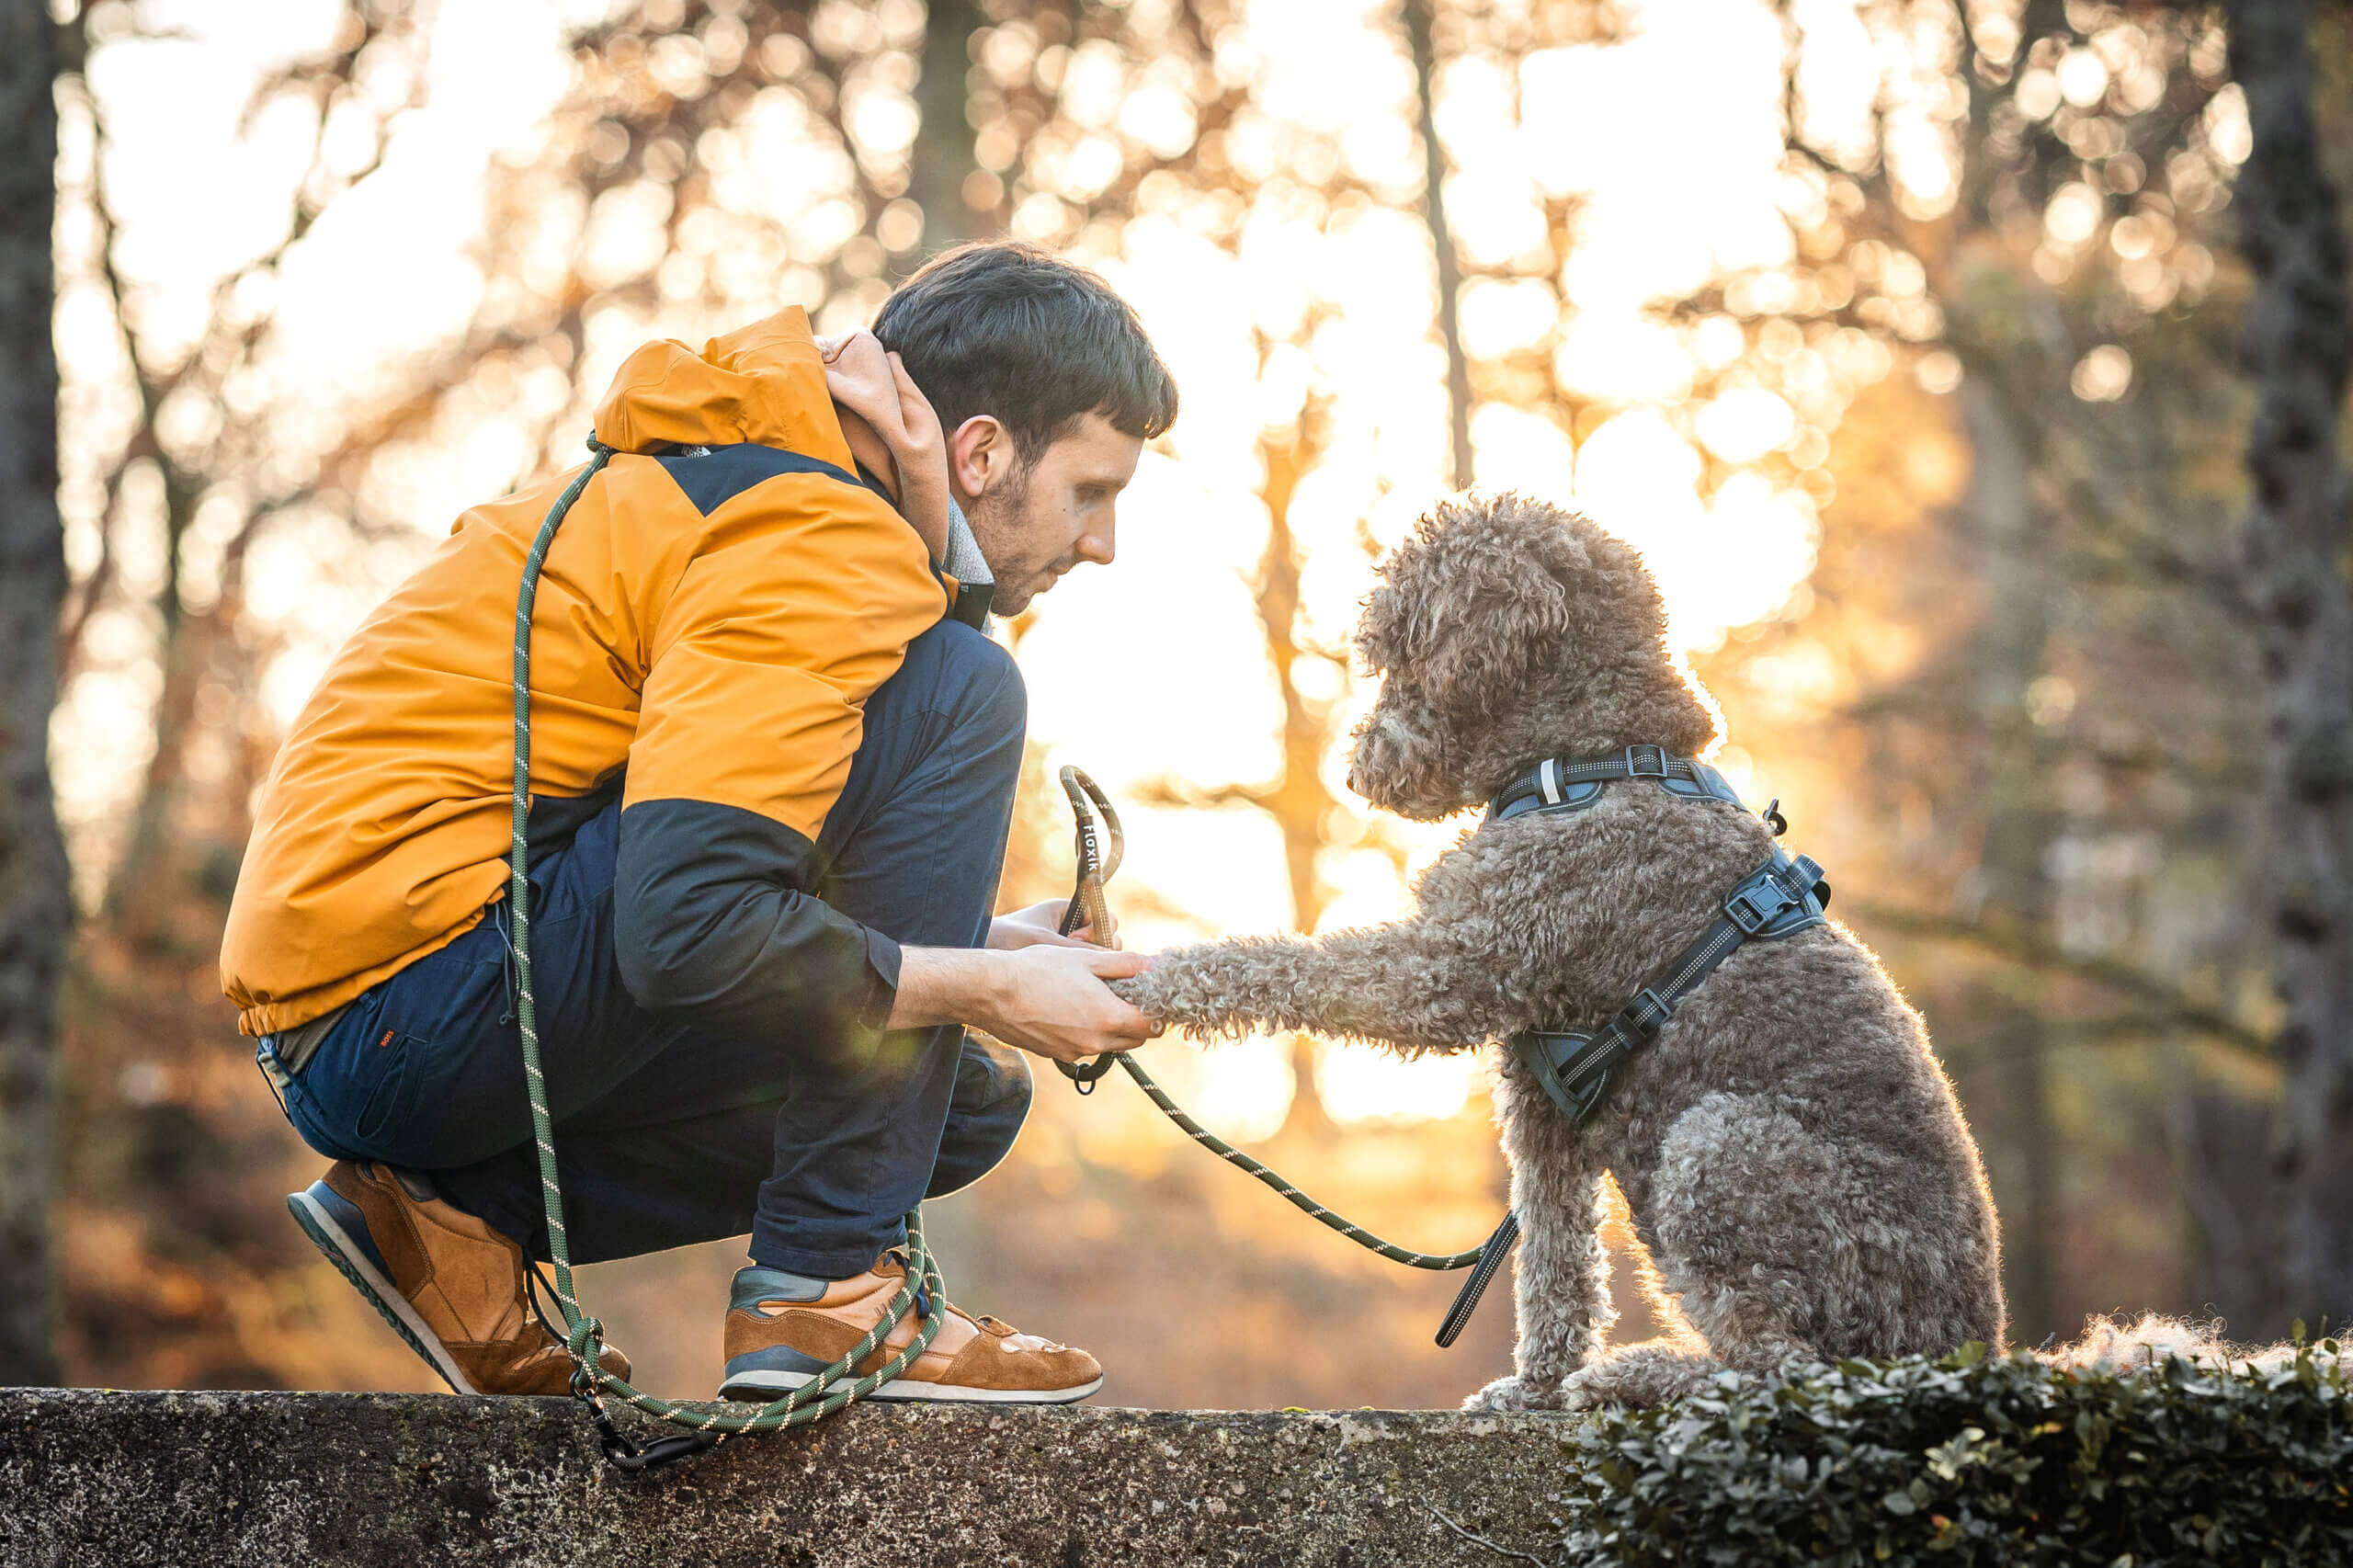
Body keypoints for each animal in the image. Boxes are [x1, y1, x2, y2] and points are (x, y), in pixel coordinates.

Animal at [1110, 494, 1995, 1412]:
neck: (1591, 758)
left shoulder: (1447, 970)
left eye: (1399, 653)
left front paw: (1152, 982)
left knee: (1785, 1367)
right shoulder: (1544, 1105)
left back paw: (1641, 1373)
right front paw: (1535, 1383)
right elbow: (1553, 1256)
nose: (1358, 772)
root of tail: (1967, 1349)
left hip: (1720, 1145)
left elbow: (1281, 966)